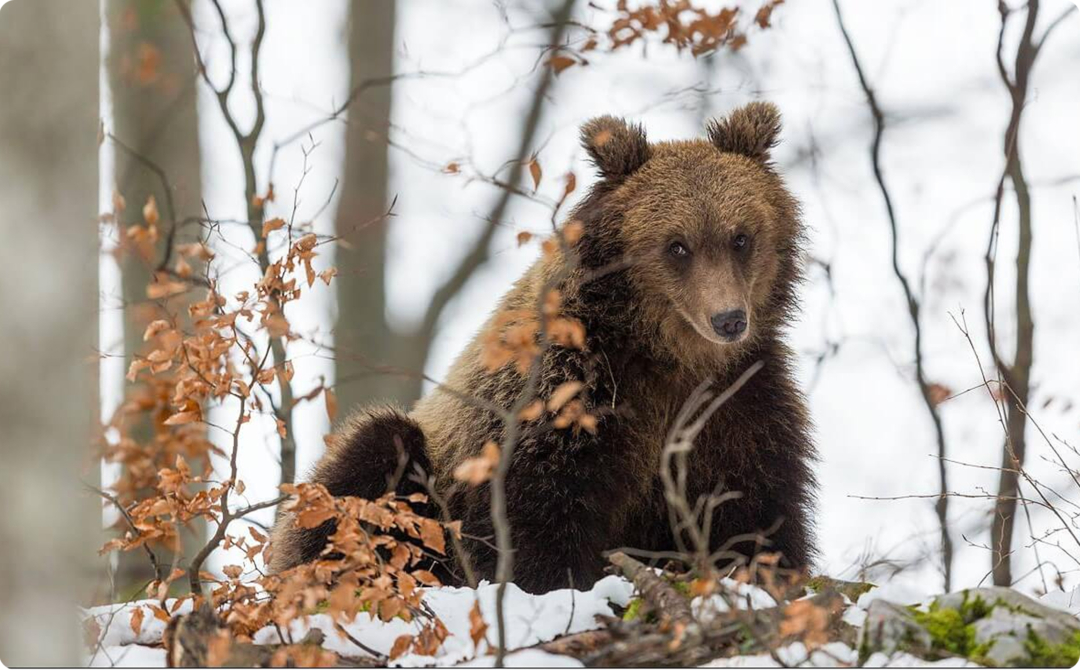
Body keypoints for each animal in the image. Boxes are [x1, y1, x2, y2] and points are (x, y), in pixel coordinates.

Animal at [269, 101, 817, 594]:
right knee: (369, 457)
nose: (728, 319)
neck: (665, 357)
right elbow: (538, 518)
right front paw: (558, 586)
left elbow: (757, 511)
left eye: (740, 237)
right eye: (677, 245)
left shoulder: (739, 406)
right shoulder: (561, 397)